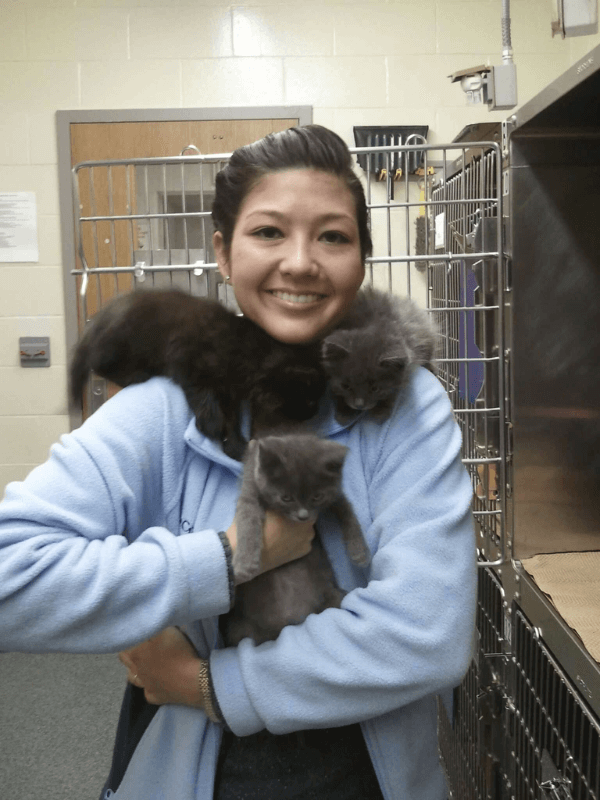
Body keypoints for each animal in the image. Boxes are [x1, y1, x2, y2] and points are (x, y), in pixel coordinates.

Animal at [70, 290, 328, 460]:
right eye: (309, 399)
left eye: (315, 399)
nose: (315, 410)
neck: (244, 347)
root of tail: (99, 318)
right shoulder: (187, 359)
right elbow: (203, 392)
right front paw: (211, 423)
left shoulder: (230, 389)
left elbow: (232, 417)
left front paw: (234, 445)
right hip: (121, 344)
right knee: (98, 363)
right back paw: (134, 375)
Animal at [221, 432, 370, 648]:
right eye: (286, 498)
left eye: (317, 496)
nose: (303, 516)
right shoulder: (250, 486)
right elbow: (248, 518)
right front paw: (245, 563)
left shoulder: (334, 495)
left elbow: (347, 511)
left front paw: (359, 552)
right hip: (238, 629)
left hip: (333, 594)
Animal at [322, 286, 438, 424]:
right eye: (345, 386)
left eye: (375, 388)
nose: (359, 405)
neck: (370, 324)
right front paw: (343, 412)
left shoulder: (407, 351)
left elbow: (396, 387)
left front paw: (381, 410)